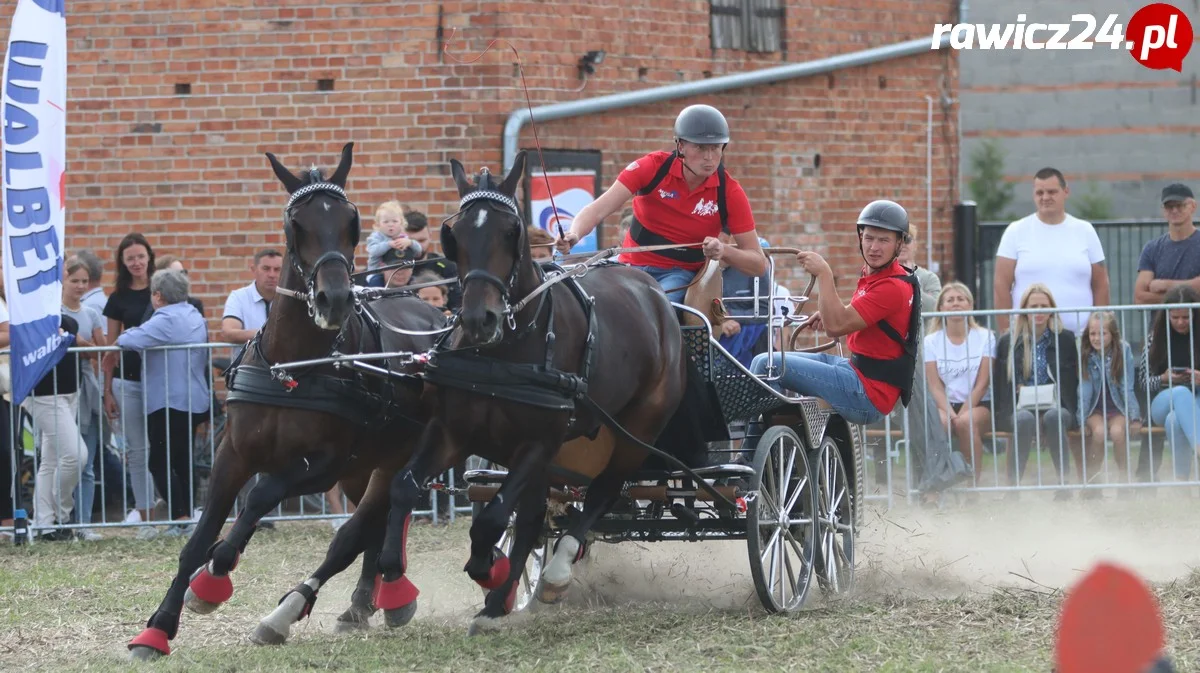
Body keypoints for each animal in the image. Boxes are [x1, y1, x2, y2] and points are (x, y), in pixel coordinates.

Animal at [127, 142, 446, 662]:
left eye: (352, 221)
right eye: (295, 224)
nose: (334, 298)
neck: (292, 367)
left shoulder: (323, 465)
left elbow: (259, 498)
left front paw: (213, 579)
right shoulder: (232, 454)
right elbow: (200, 537)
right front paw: (158, 628)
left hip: (396, 457)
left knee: (359, 530)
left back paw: (322, 605)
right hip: (365, 468)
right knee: (373, 525)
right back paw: (363, 603)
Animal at [369, 151, 700, 628]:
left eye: (512, 231)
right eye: (455, 235)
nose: (479, 319)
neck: (504, 351)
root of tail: (655, 294)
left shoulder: (538, 443)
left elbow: (490, 519)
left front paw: (488, 568)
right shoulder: (453, 432)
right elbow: (404, 486)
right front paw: (395, 583)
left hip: (636, 433)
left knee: (603, 491)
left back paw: (555, 572)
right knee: (536, 516)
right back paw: (502, 599)